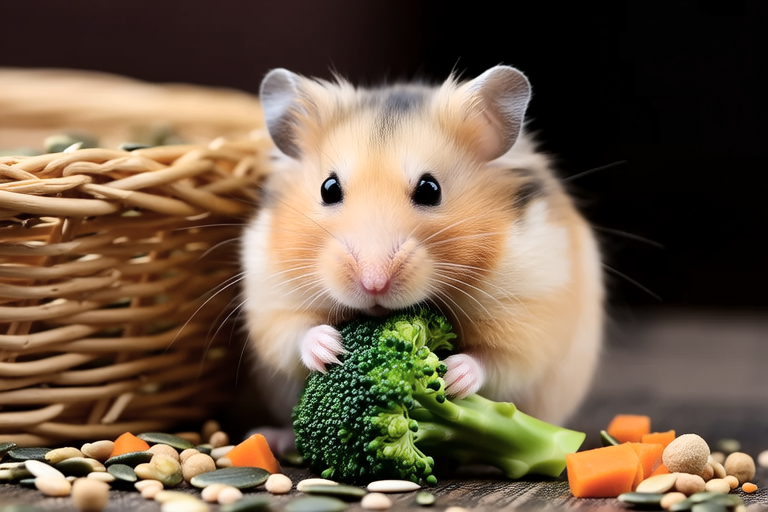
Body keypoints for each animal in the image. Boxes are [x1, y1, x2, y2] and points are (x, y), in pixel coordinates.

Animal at [240, 65, 604, 432]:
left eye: (430, 189)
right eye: (328, 188)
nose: (374, 284)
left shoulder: (529, 308)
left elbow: (496, 360)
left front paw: (454, 377)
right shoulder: (272, 295)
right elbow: (293, 334)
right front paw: (331, 351)